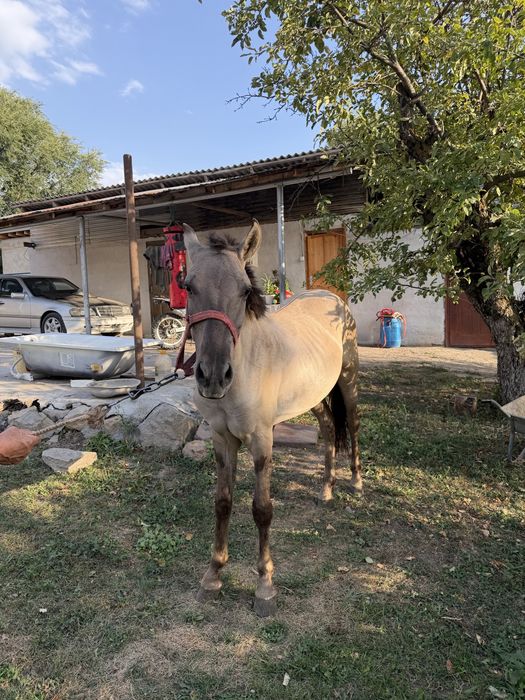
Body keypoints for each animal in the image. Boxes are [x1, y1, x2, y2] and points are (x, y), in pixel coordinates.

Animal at [181, 220, 361, 616]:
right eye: (188, 286)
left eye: (245, 290)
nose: (213, 376)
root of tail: (330, 297)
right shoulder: (222, 439)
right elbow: (223, 503)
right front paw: (213, 576)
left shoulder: (263, 440)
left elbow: (262, 509)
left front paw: (265, 585)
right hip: (314, 396)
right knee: (329, 429)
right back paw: (326, 490)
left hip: (349, 380)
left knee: (353, 427)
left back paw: (356, 483)